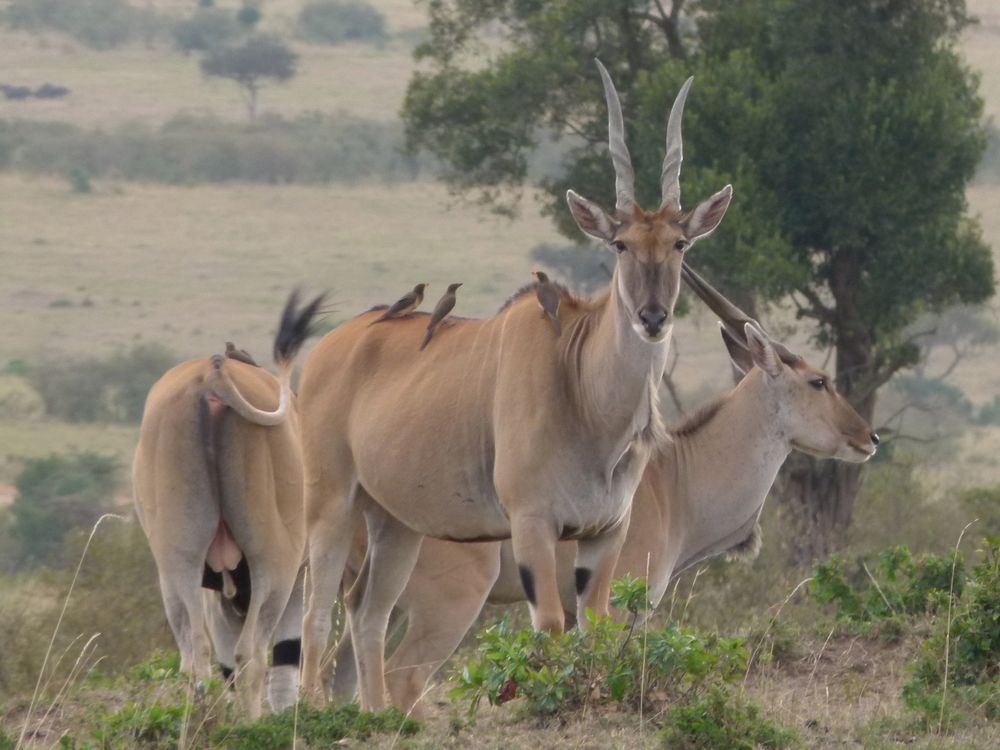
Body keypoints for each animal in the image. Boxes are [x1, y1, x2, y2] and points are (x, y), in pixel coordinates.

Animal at [134, 290, 324, 720]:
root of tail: (212, 377)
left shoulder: (216, 592)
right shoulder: (295, 579)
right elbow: (284, 662)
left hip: (177, 567)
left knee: (196, 657)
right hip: (273, 565)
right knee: (250, 655)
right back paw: (250, 725)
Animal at [296, 60, 736, 712]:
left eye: (680, 243)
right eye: (620, 244)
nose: (653, 317)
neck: (584, 396)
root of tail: (329, 348)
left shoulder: (605, 532)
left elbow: (594, 628)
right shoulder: (532, 524)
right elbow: (550, 627)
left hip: (394, 523)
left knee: (366, 614)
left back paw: (376, 717)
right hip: (332, 503)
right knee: (316, 612)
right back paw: (303, 711)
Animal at [326, 268, 876, 712]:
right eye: (819, 381)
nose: (868, 438)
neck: (675, 478)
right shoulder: (621, 600)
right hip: (449, 602)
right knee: (404, 675)